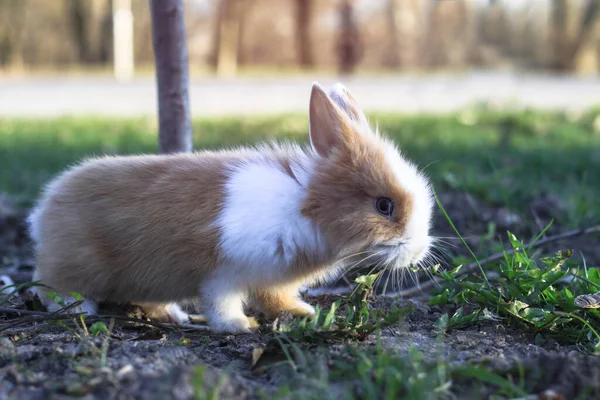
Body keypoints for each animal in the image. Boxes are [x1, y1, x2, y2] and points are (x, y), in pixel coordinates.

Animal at [28, 82, 434, 334]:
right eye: (384, 205)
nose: (418, 252)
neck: (306, 207)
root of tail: (44, 209)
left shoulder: (270, 279)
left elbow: (275, 298)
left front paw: (302, 313)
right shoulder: (223, 273)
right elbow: (221, 303)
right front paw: (239, 327)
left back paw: (173, 314)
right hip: (76, 264)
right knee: (49, 282)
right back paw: (78, 308)